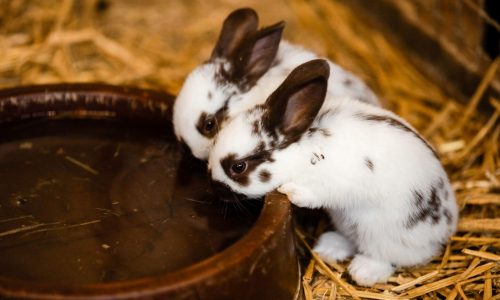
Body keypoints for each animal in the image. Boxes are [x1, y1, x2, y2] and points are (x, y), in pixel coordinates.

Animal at [207, 59, 458, 288]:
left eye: (238, 167)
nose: (213, 187)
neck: (303, 150)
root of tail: (447, 227)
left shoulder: (337, 182)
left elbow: (317, 193)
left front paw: (291, 191)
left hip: (384, 234)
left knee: (388, 257)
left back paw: (363, 271)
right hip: (346, 221)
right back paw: (328, 247)